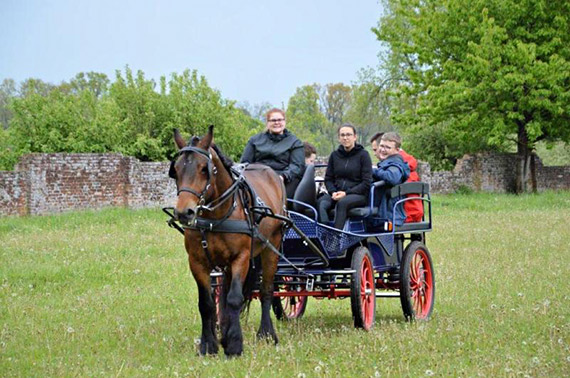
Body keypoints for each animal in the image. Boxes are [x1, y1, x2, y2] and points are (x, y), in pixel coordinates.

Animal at [168, 125, 284, 356]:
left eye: (204, 169)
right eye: (175, 169)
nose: (184, 212)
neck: (216, 217)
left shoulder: (242, 257)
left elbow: (234, 298)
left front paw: (235, 344)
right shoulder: (197, 261)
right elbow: (207, 303)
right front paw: (209, 344)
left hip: (271, 247)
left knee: (266, 290)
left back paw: (266, 334)